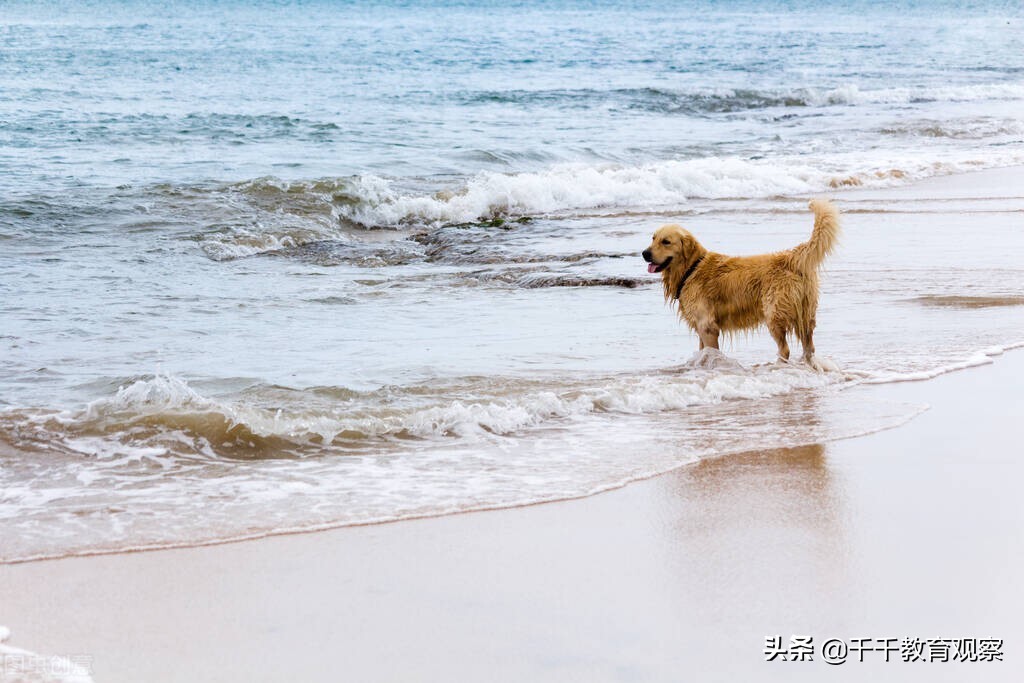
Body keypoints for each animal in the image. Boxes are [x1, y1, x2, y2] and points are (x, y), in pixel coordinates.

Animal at [638, 198, 839, 368]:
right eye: (653, 238)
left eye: (666, 241)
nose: (645, 253)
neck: (692, 268)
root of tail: (790, 257)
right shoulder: (701, 325)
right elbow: (703, 351)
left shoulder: (707, 326)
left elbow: (711, 351)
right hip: (805, 314)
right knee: (809, 348)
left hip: (774, 313)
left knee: (785, 349)